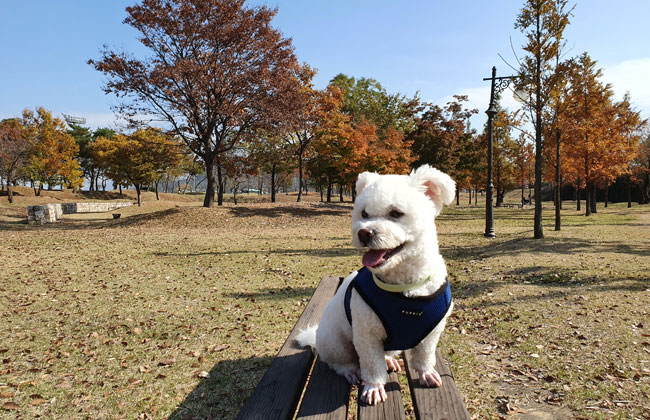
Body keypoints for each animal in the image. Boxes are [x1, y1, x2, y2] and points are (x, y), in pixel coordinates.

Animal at [296, 166, 454, 406]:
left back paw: (389, 360)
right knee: (338, 362)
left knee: (385, 354)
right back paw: (351, 370)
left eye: (396, 213)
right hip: (335, 342)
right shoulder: (366, 335)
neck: (406, 290)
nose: (364, 232)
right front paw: (373, 387)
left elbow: (424, 356)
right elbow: (371, 365)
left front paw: (426, 373)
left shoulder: (431, 334)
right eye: (364, 214)